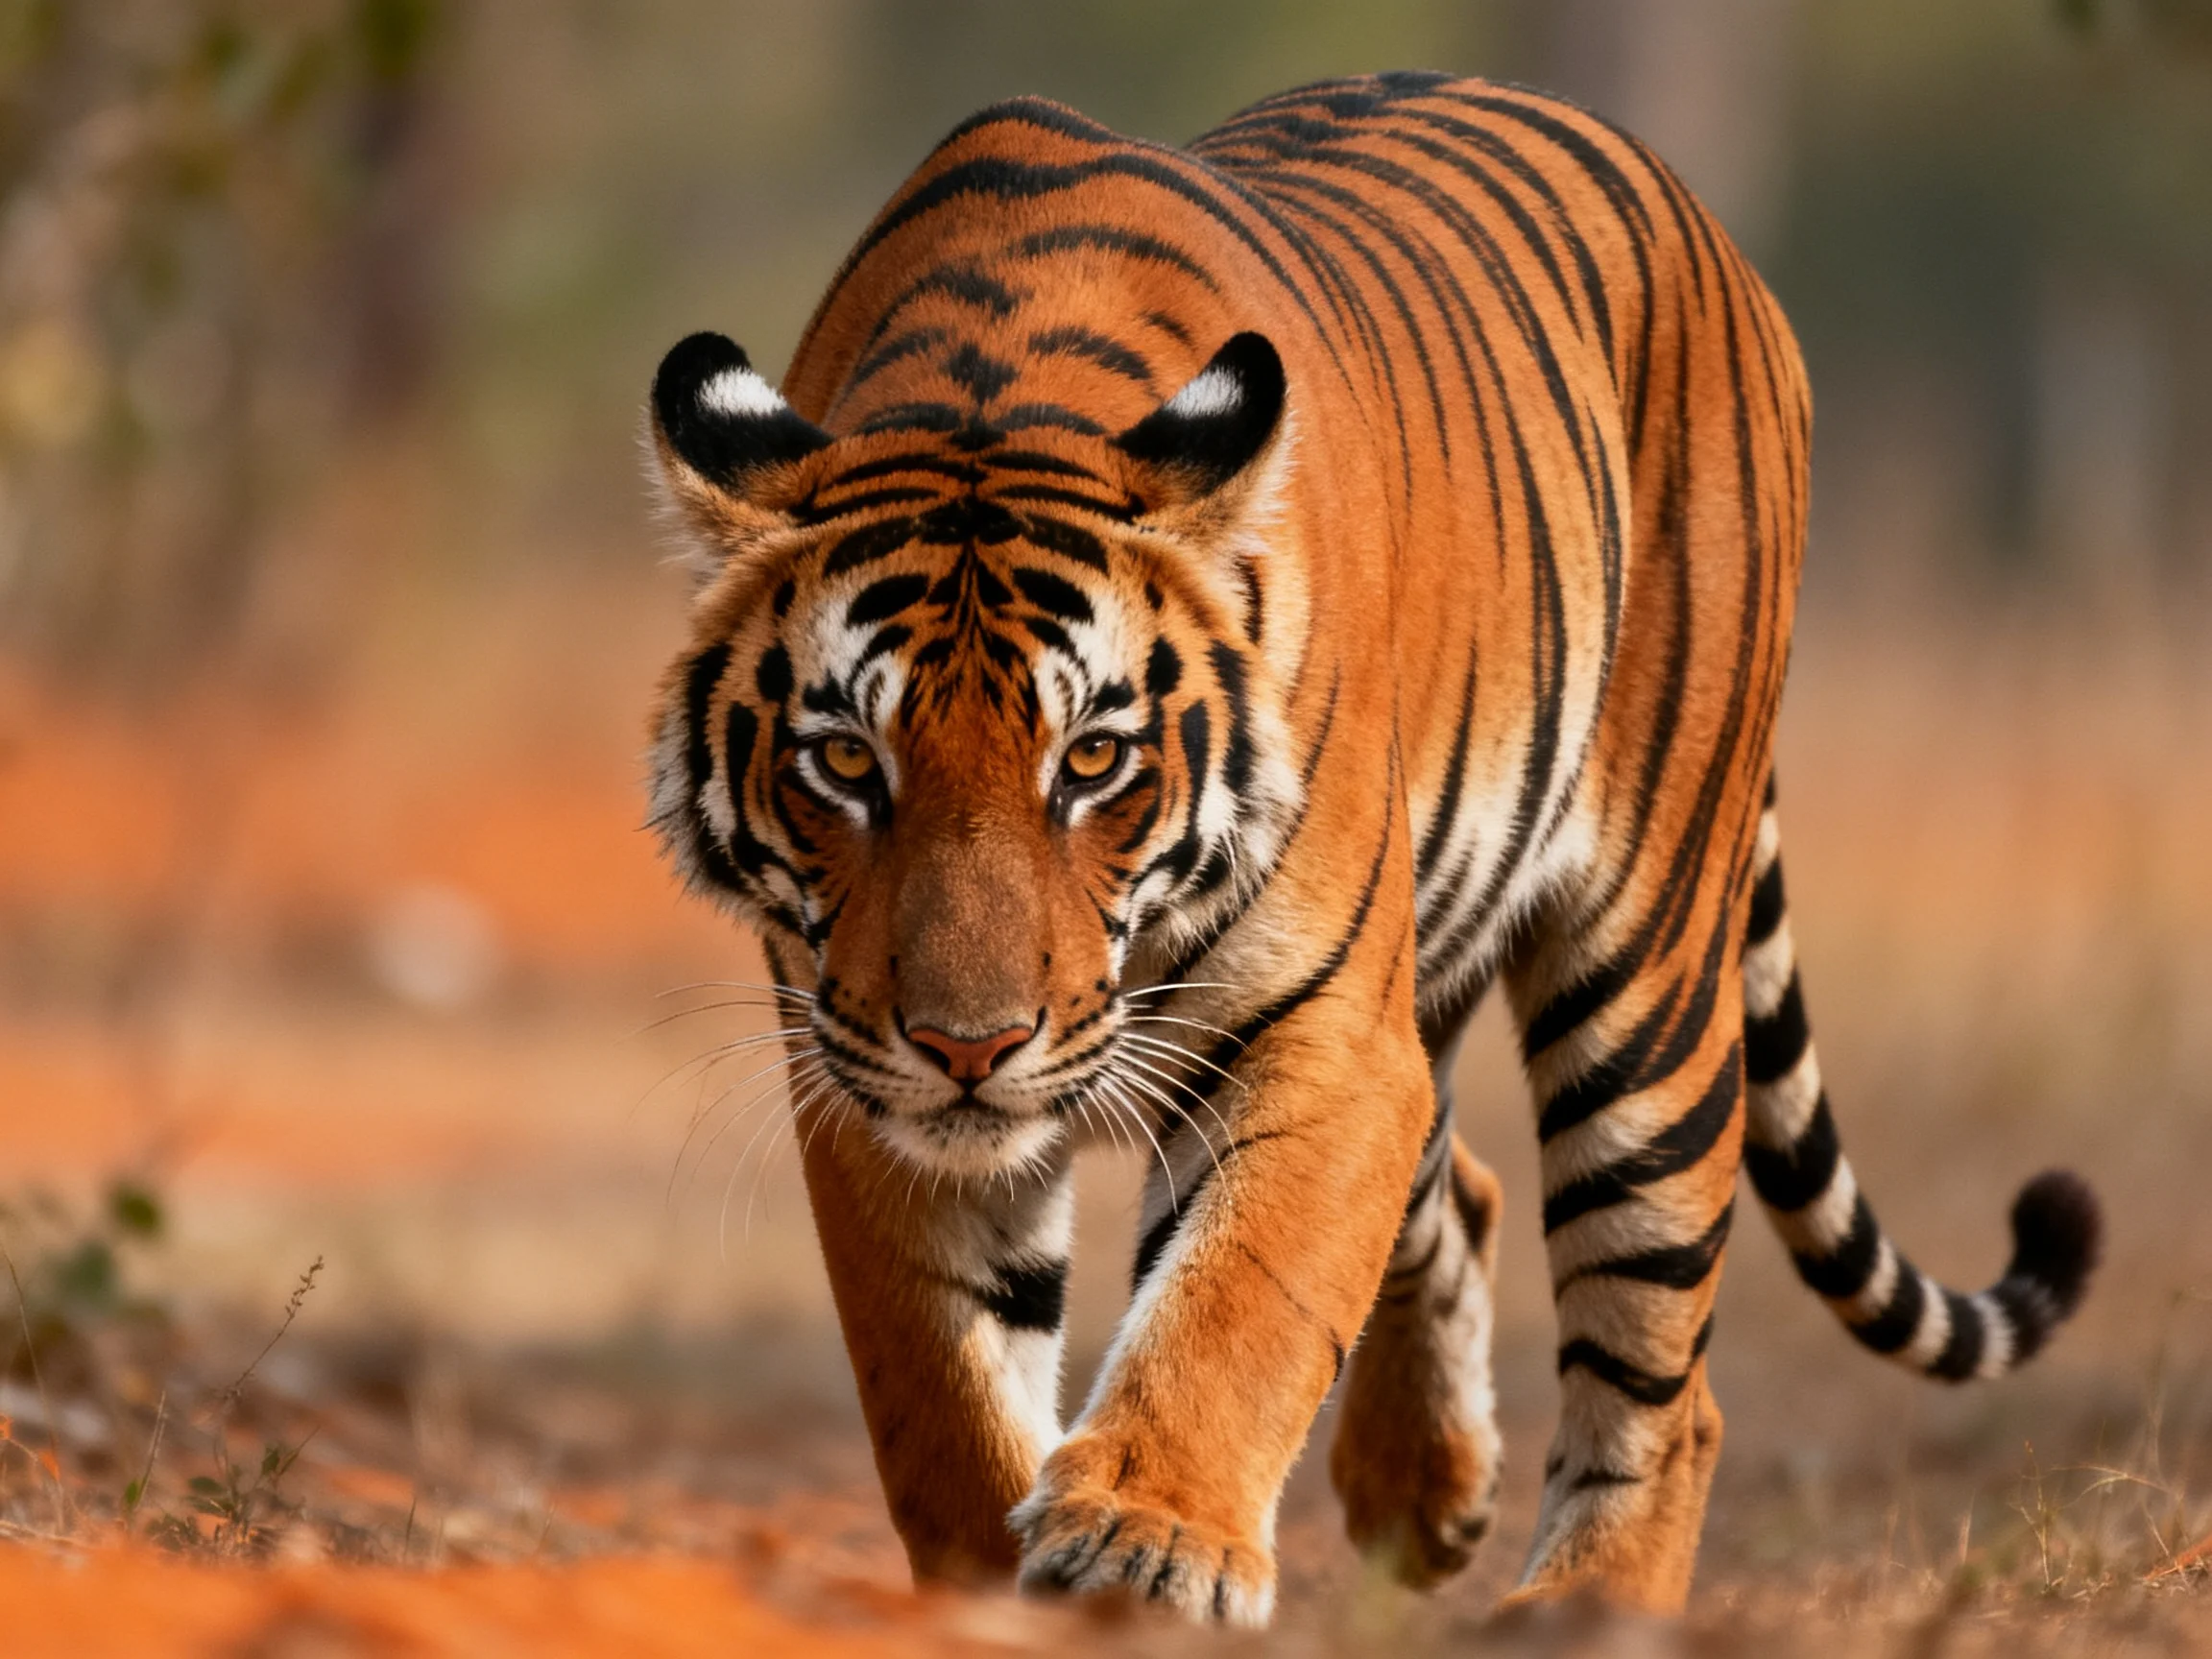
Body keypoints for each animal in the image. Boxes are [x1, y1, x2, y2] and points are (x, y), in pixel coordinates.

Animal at [642, 73, 2100, 1625]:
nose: (970, 1047)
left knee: (1661, 1361)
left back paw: (1576, 1612)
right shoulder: (858, 1073)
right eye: (848, 762)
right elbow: (945, 1386)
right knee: (1460, 1191)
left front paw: (1146, 1540)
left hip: (1646, 967)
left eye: (1090, 760)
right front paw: (1004, 1586)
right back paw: (1421, 1494)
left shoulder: (1324, 1033)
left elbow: (1236, 1300)